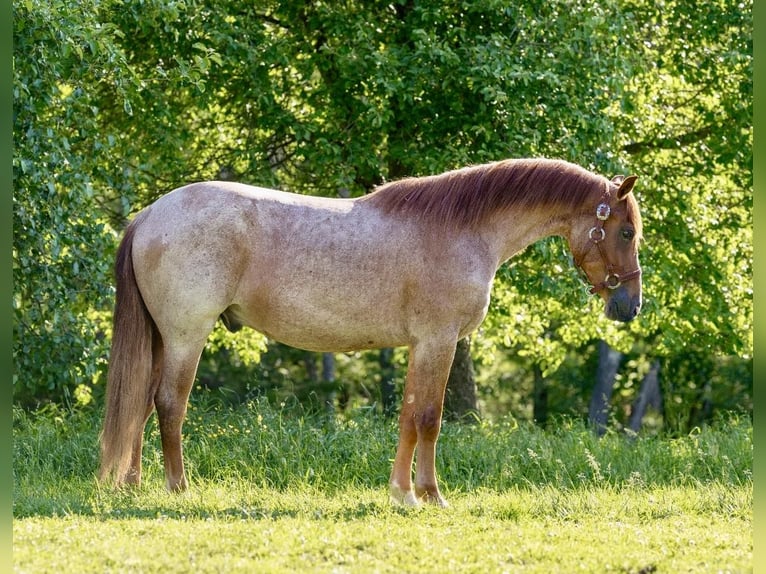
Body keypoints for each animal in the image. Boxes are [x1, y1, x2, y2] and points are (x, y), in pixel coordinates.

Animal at [99, 158, 643, 507]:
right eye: (626, 231)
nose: (631, 305)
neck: (462, 229)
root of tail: (149, 215)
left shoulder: (420, 346)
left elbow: (407, 417)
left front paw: (402, 492)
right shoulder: (439, 341)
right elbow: (429, 418)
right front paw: (430, 495)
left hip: (162, 339)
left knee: (141, 403)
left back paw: (132, 485)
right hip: (186, 336)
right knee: (169, 403)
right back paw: (178, 488)